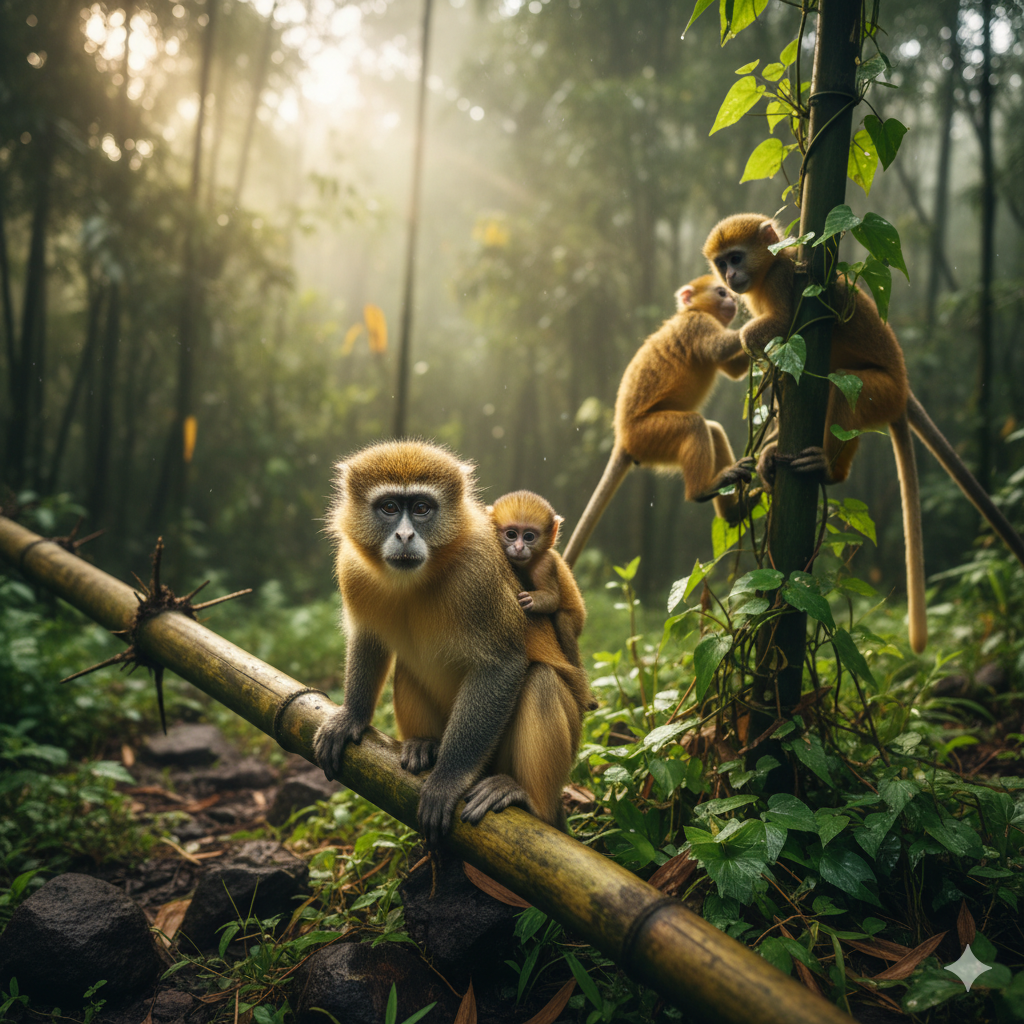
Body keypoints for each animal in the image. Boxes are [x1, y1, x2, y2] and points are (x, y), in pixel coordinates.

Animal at [311, 440, 582, 844]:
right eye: (389, 507)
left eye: (422, 508)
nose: (405, 536)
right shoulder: (353, 569)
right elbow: (368, 639)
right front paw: (351, 717)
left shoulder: (478, 573)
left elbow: (503, 665)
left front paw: (447, 781)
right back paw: (425, 743)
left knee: (541, 681)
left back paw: (529, 799)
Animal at [489, 490, 597, 714]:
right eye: (511, 534)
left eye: (529, 536)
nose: (519, 547)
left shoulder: (545, 564)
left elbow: (553, 599)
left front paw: (530, 601)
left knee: (563, 620)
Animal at [562, 275, 754, 567]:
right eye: (721, 293)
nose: (732, 300)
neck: (690, 311)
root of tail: (622, 439)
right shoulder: (695, 325)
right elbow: (720, 350)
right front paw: (774, 321)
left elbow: (735, 371)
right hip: (648, 435)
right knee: (694, 425)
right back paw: (702, 490)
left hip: (653, 448)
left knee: (713, 430)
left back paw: (733, 511)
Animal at [703, 213, 1024, 654]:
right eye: (721, 264)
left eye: (735, 257)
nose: (731, 275)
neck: (768, 270)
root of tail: (903, 389)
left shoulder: (786, 280)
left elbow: (784, 328)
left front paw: (749, 341)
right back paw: (773, 457)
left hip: (878, 393)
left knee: (841, 388)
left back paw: (829, 471)